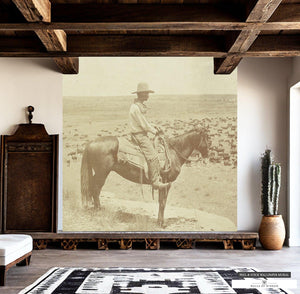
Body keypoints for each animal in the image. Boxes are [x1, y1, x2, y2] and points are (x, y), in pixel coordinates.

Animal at [81, 129, 210, 227]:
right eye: (206, 138)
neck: (173, 154)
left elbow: (161, 201)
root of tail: (90, 143)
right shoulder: (166, 183)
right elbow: (163, 202)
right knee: (95, 189)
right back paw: (98, 210)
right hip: (102, 173)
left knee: (92, 188)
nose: (207, 154)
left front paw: (159, 221)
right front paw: (161, 223)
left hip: (98, 173)